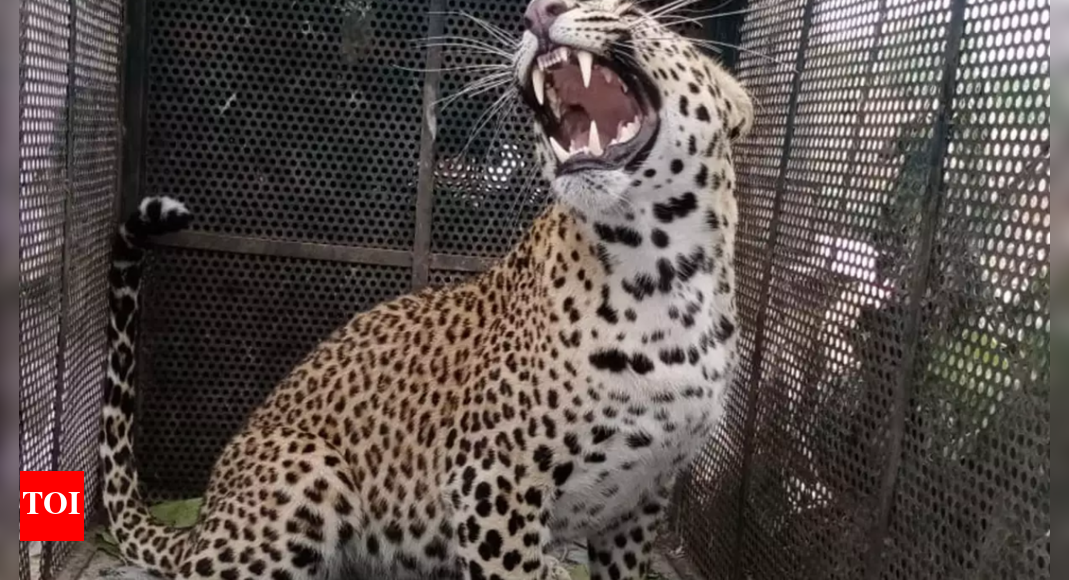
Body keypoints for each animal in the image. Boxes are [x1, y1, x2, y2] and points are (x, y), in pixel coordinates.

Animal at [99, 0, 754, 578]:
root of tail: (202, 522)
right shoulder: (492, 481)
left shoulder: (642, 500)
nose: (538, 12)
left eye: (636, 15)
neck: (668, 272)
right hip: (309, 470)